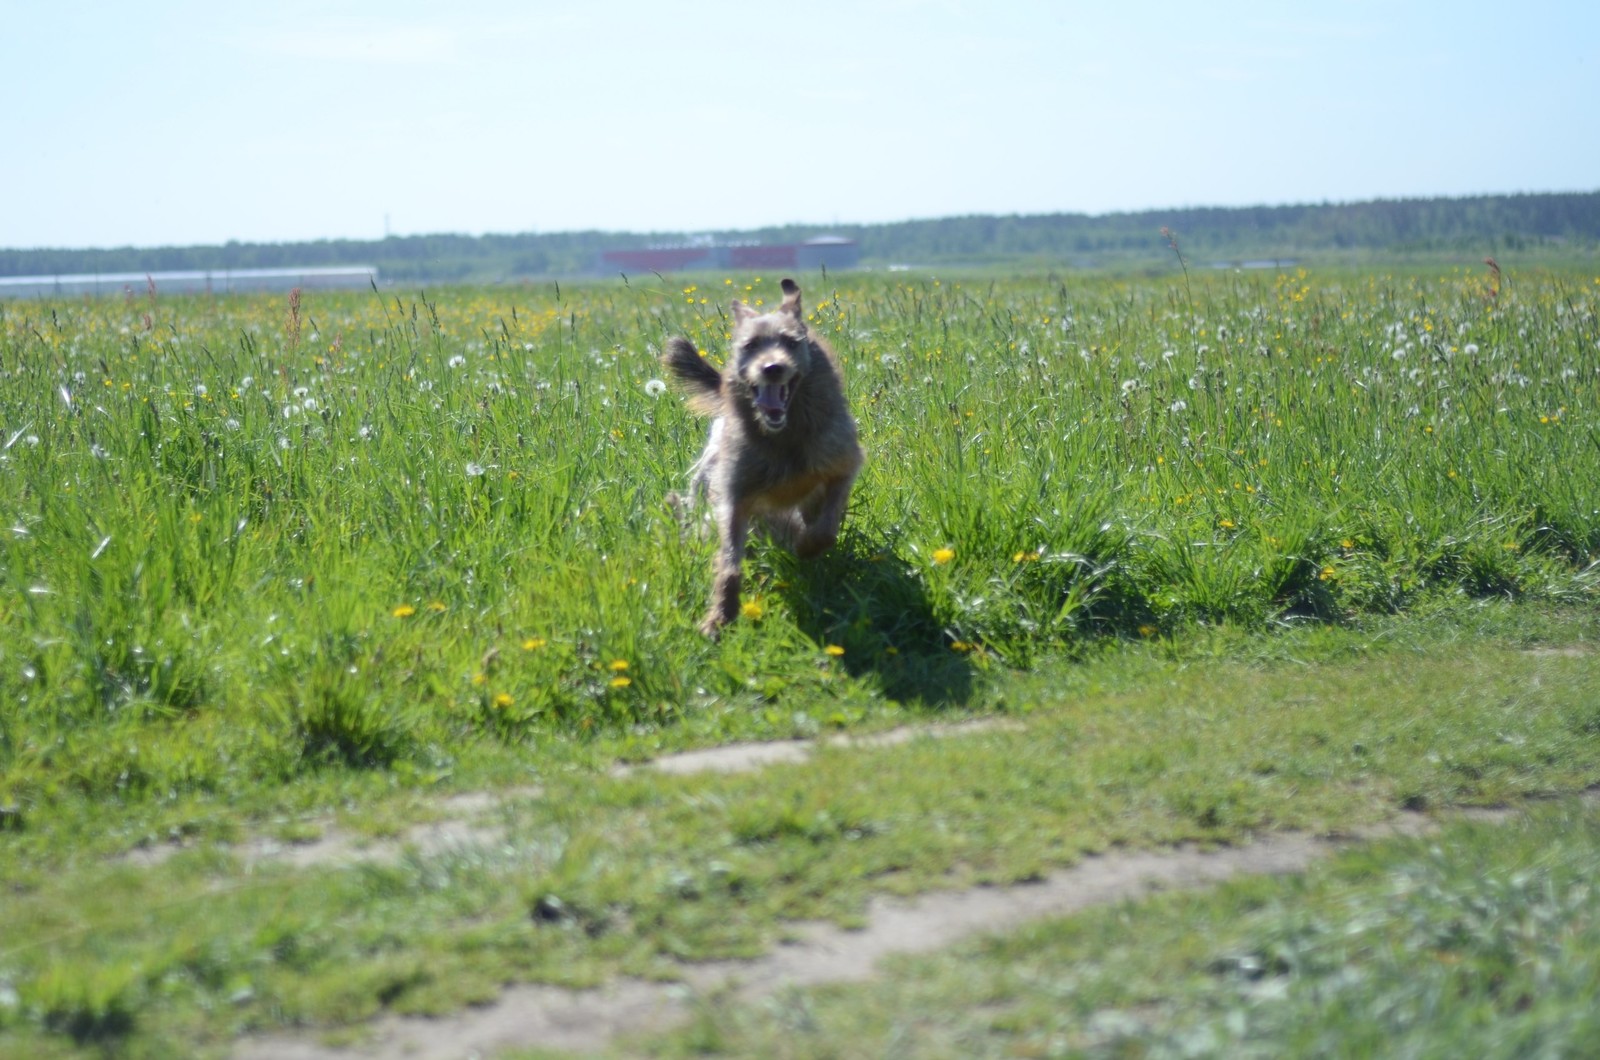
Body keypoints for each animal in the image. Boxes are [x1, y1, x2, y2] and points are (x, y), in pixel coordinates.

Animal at [662, 278, 864, 640]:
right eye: (750, 345)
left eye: (791, 342)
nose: (772, 368)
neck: (783, 437)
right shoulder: (734, 496)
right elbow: (729, 561)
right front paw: (720, 617)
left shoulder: (842, 464)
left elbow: (825, 527)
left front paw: (807, 546)